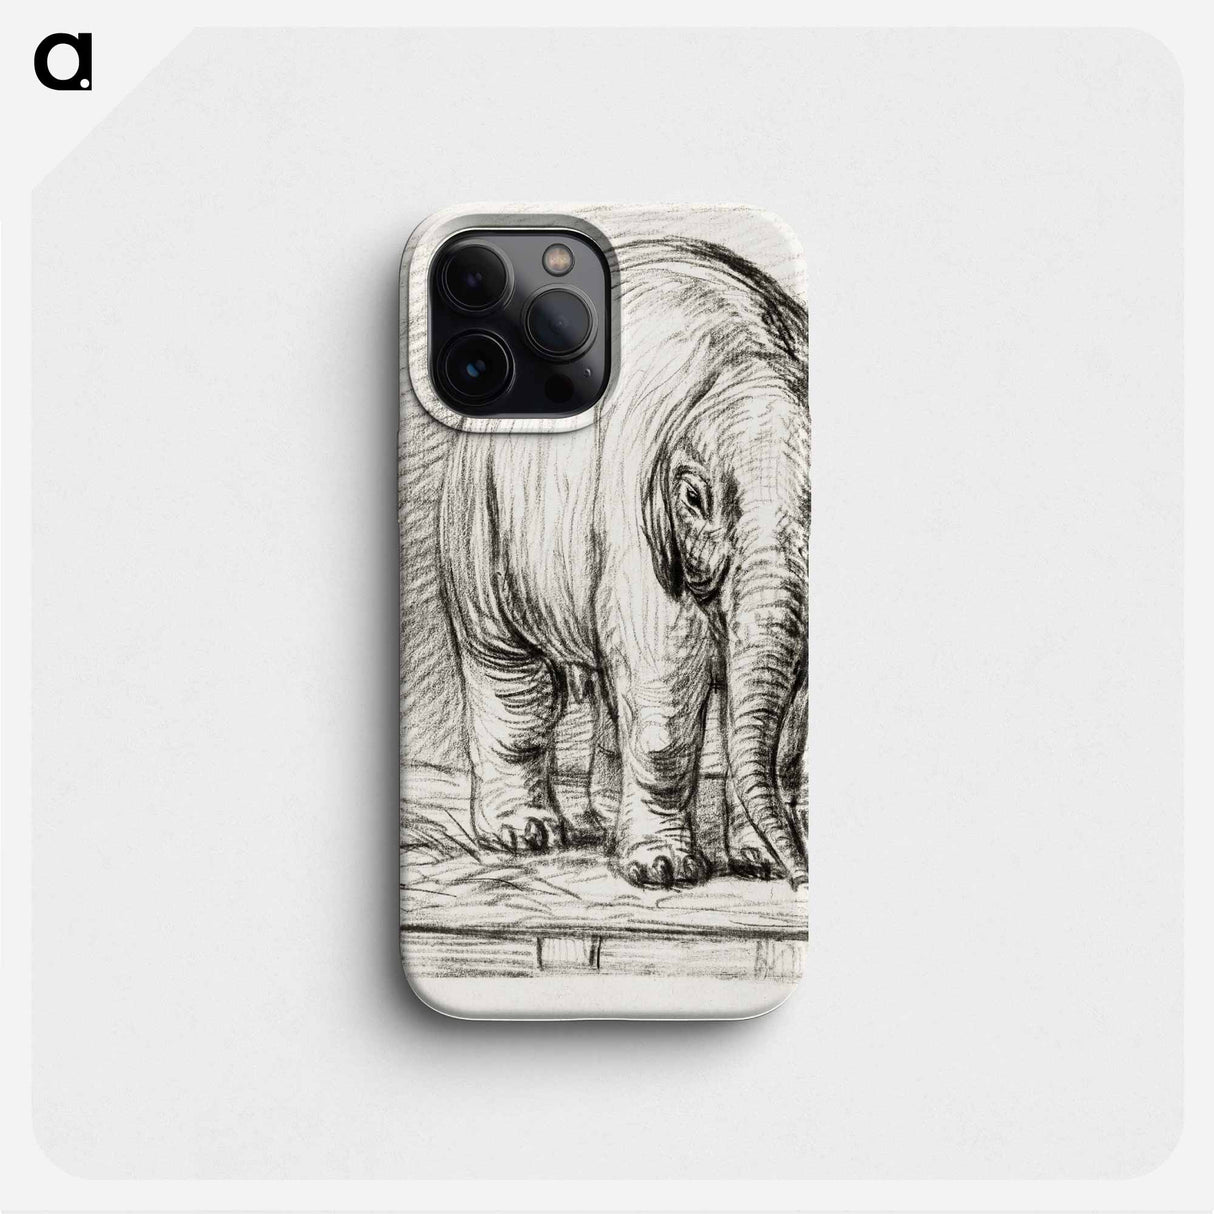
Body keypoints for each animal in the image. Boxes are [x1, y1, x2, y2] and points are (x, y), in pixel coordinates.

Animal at [437, 236, 809, 888]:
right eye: (693, 497)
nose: (801, 877)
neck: (750, 358)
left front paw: (759, 862)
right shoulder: (632, 514)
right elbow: (666, 661)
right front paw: (664, 871)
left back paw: (605, 820)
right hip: (477, 517)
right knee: (513, 676)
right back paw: (524, 835)